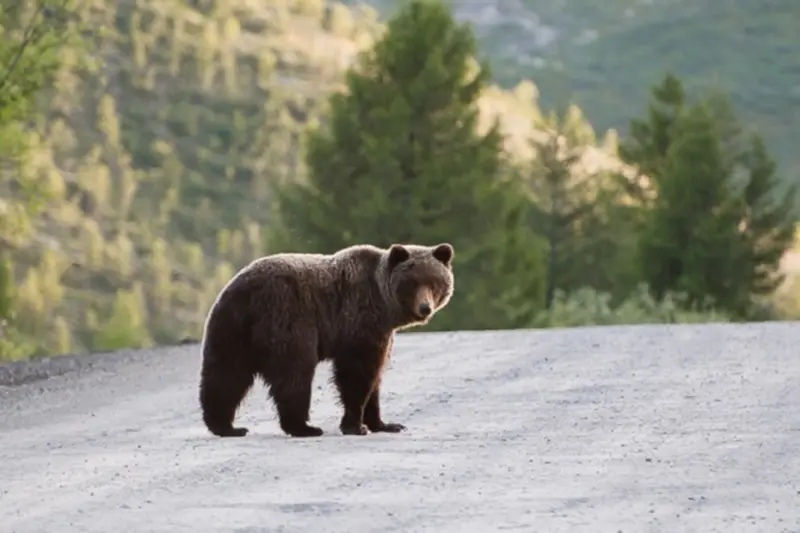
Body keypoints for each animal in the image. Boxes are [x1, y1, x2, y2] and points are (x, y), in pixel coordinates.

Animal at [198, 242, 455, 438]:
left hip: (230, 328)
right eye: (412, 283)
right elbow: (357, 374)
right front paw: (356, 425)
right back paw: (304, 427)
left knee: (226, 375)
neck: (385, 306)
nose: (424, 307)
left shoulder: (382, 333)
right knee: (294, 374)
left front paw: (386, 424)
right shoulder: (359, 321)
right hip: (286, 321)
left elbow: (376, 376)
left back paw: (225, 426)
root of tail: (246, 291)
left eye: (434, 282)